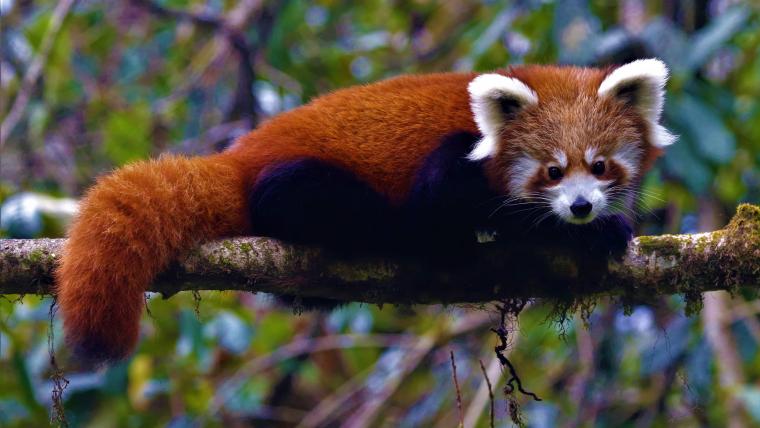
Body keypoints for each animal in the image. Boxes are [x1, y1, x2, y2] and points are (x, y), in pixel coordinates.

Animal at [59, 57, 676, 364]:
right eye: (552, 171)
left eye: (599, 166)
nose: (579, 207)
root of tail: (241, 155)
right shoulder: (461, 162)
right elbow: (454, 198)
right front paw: (573, 234)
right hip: (297, 181)